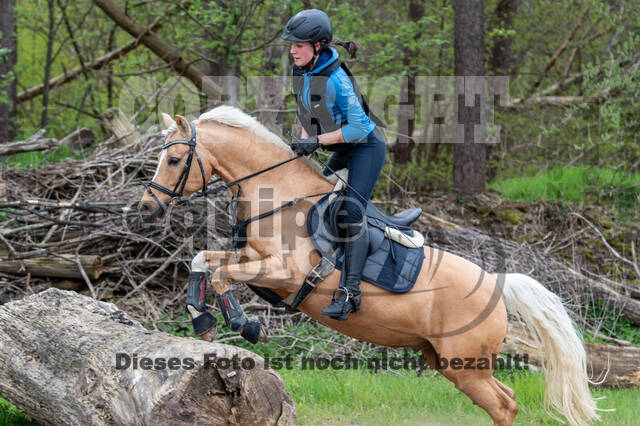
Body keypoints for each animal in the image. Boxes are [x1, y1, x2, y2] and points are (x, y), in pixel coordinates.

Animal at [139, 105, 600, 424]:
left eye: (174, 161)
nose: (146, 207)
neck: (280, 195)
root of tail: (496, 283)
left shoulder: (284, 273)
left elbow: (221, 273)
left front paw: (244, 324)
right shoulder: (255, 260)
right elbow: (204, 259)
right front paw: (201, 318)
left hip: (465, 365)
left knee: (504, 406)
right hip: (448, 362)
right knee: (506, 400)